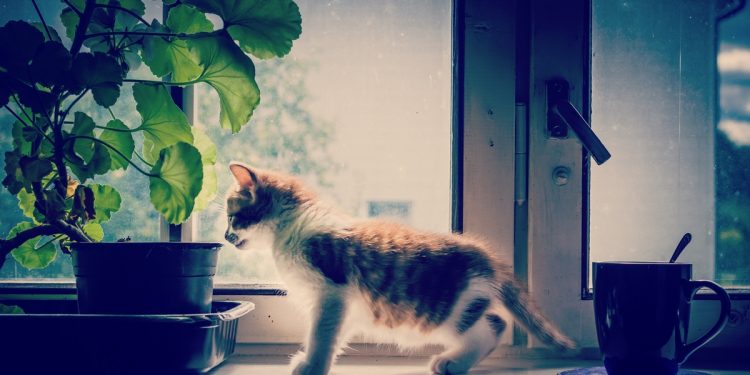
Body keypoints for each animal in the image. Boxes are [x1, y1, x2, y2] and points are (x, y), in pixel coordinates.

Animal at [223, 164, 576, 375]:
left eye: (231, 217)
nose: (225, 237)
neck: (293, 225)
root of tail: (484, 255)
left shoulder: (331, 292)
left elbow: (321, 333)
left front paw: (313, 365)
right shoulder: (344, 304)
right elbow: (336, 333)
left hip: (446, 311)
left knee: (493, 325)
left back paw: (453, 362)